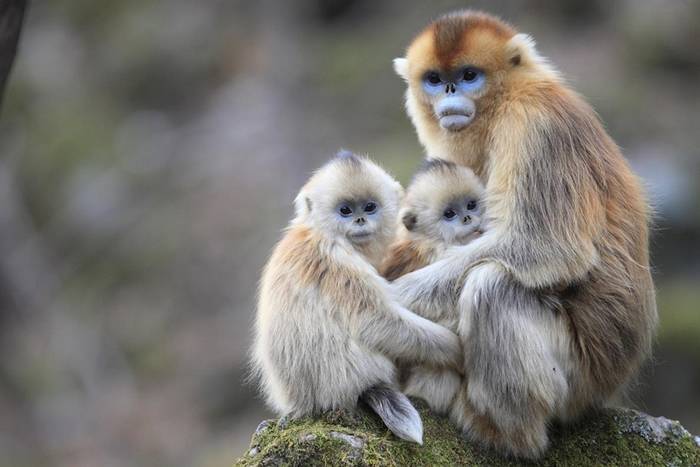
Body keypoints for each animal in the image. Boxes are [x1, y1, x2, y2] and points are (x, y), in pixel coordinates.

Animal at [253, 152, 464, 444]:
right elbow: (375, 321)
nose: (360, 220)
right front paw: (457, 351)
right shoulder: (337, 258)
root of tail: (308, 402)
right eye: (345, 211)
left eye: (369, 207)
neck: (319, 232)